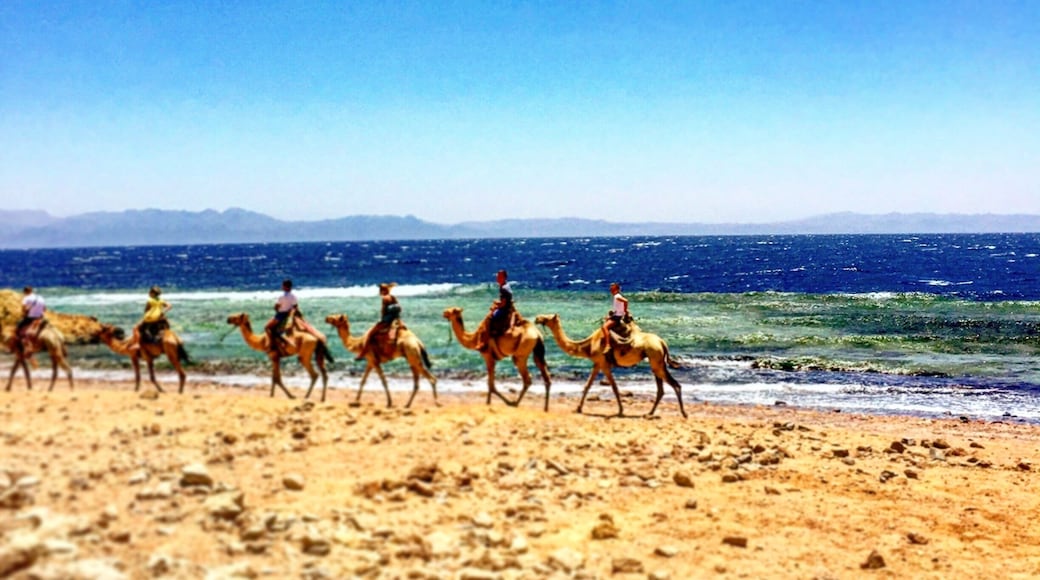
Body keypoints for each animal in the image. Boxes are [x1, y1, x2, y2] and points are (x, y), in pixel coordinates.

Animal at [535, 313, 686, 418]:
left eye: (548, 317)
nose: (537, 318)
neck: (588, 345)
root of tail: (662, 342)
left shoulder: (603, 363)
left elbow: (614, 387)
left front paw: (620, 410)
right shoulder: (597, 364)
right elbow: (588, 385)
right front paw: (578, 408)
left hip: (655, 358)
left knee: (674, 384)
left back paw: (683, 413)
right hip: (656, 361)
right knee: (662, 389)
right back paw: (649, 413)